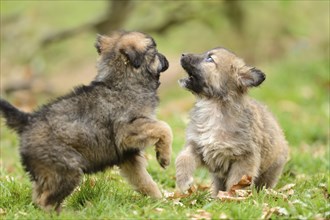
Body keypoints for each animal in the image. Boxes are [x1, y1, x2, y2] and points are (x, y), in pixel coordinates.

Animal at [0, 30, 173, 211]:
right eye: (155, 52)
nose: (165, 58)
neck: (123, 81)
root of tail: (28, 120)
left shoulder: (127, 155)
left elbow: (144, 180)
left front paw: (159, 201)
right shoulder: (127, 131)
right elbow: (164, 127)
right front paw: (164, 157)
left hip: (47, 172)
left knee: (38, 196)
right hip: (66, 169)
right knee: (45, 200)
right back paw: (64, 213)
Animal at [175, 47, 288, 197]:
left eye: (210, 59)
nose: (182, 54)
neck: (214, 108)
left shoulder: (244, 159)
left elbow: (236, 181)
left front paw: (232, 196)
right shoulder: (196, 146)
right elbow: (183, 158)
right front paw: (183, 181)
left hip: (271, 170)